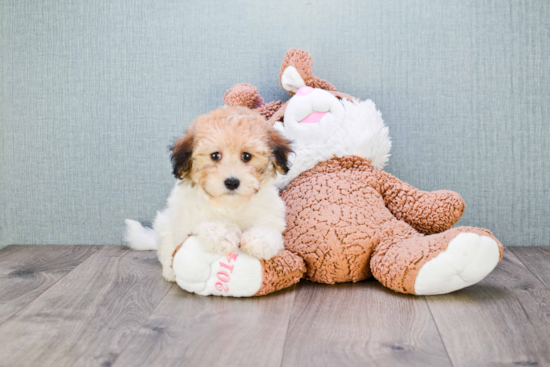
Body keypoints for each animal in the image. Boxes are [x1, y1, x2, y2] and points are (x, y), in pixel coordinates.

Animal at [125, 106, 294, 282]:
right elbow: (206, 222)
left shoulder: (271, 213)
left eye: (247, 156)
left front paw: (259, 242)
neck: (231, 205)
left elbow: (268, 228)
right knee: (166, 251)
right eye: (215, 156)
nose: (232, 182)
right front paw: (224, 235)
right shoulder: (188, 216)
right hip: (165, 226)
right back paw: (170, 272)